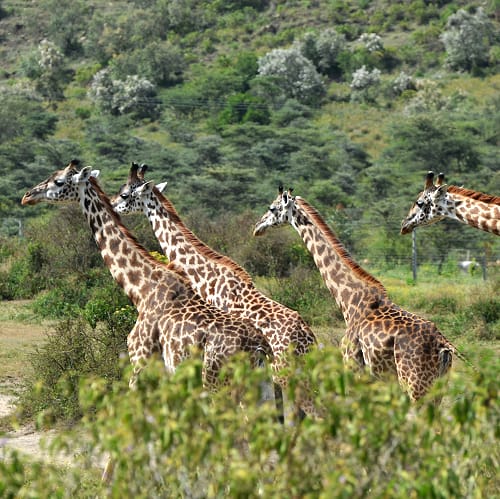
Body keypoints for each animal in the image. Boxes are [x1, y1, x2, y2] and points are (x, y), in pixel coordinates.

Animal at [254, 186, 468, 400]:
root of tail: (443, 344)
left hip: (415, 384)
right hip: (436, 386)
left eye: (272, 208)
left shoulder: (352, 366)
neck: (348, 300)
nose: (257, 227)